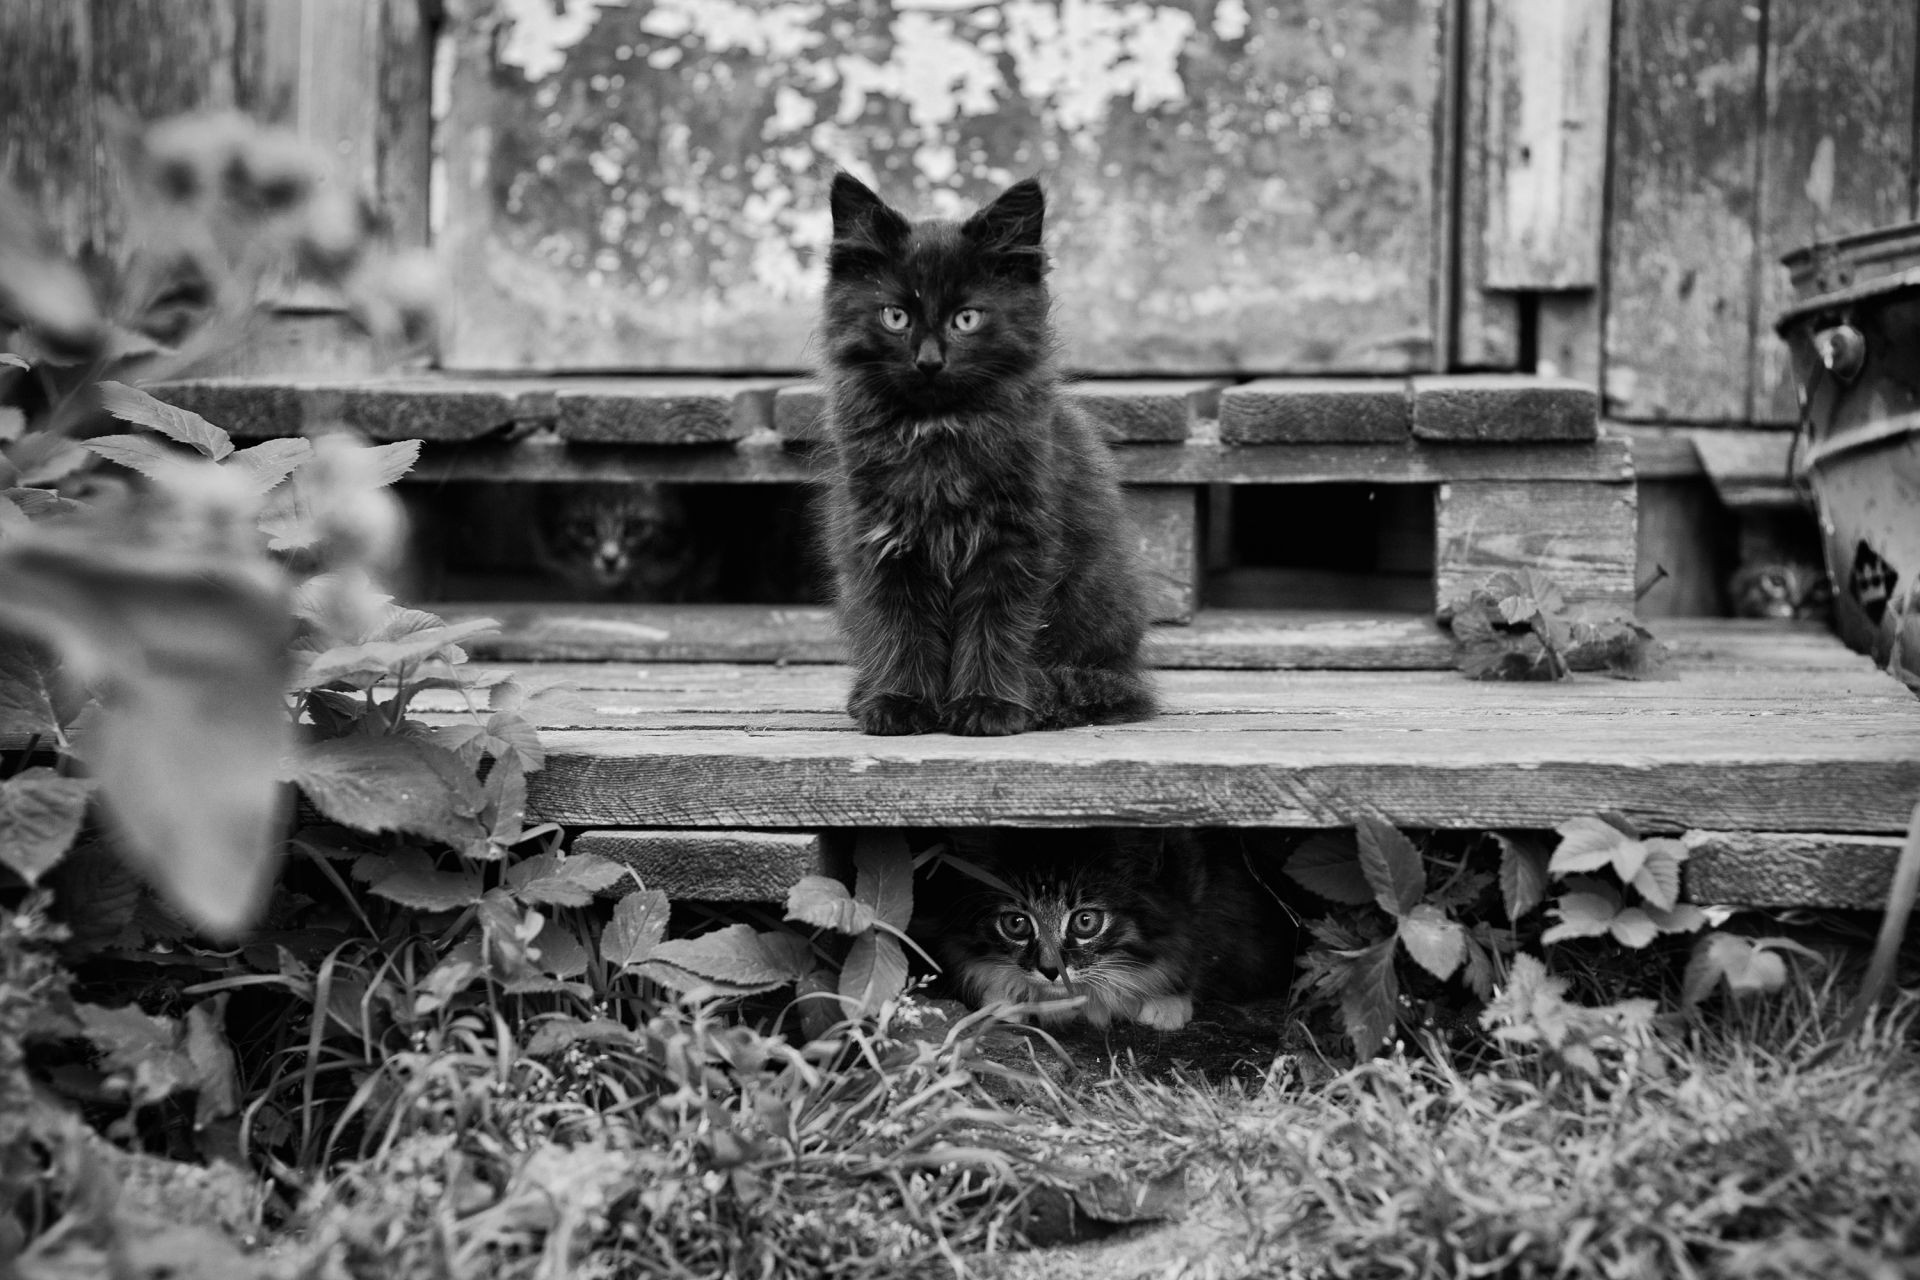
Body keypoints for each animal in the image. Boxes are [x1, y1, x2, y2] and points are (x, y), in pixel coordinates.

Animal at [814, 173, 1144, 736]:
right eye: (895, 316)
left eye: (966, 318)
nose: (929, 361)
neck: (938, 438)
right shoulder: (886, 544)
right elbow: (902, 629)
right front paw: (901, 702)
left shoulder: (1015, 544)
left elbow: (995, 628)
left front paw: (986, 705)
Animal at [917, 832, 1297, 1028]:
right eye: (1016, 923)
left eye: (1086, 921)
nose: (1051, 970)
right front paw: (1007, 998)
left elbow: (1193, 945)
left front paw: (1166, 1001)